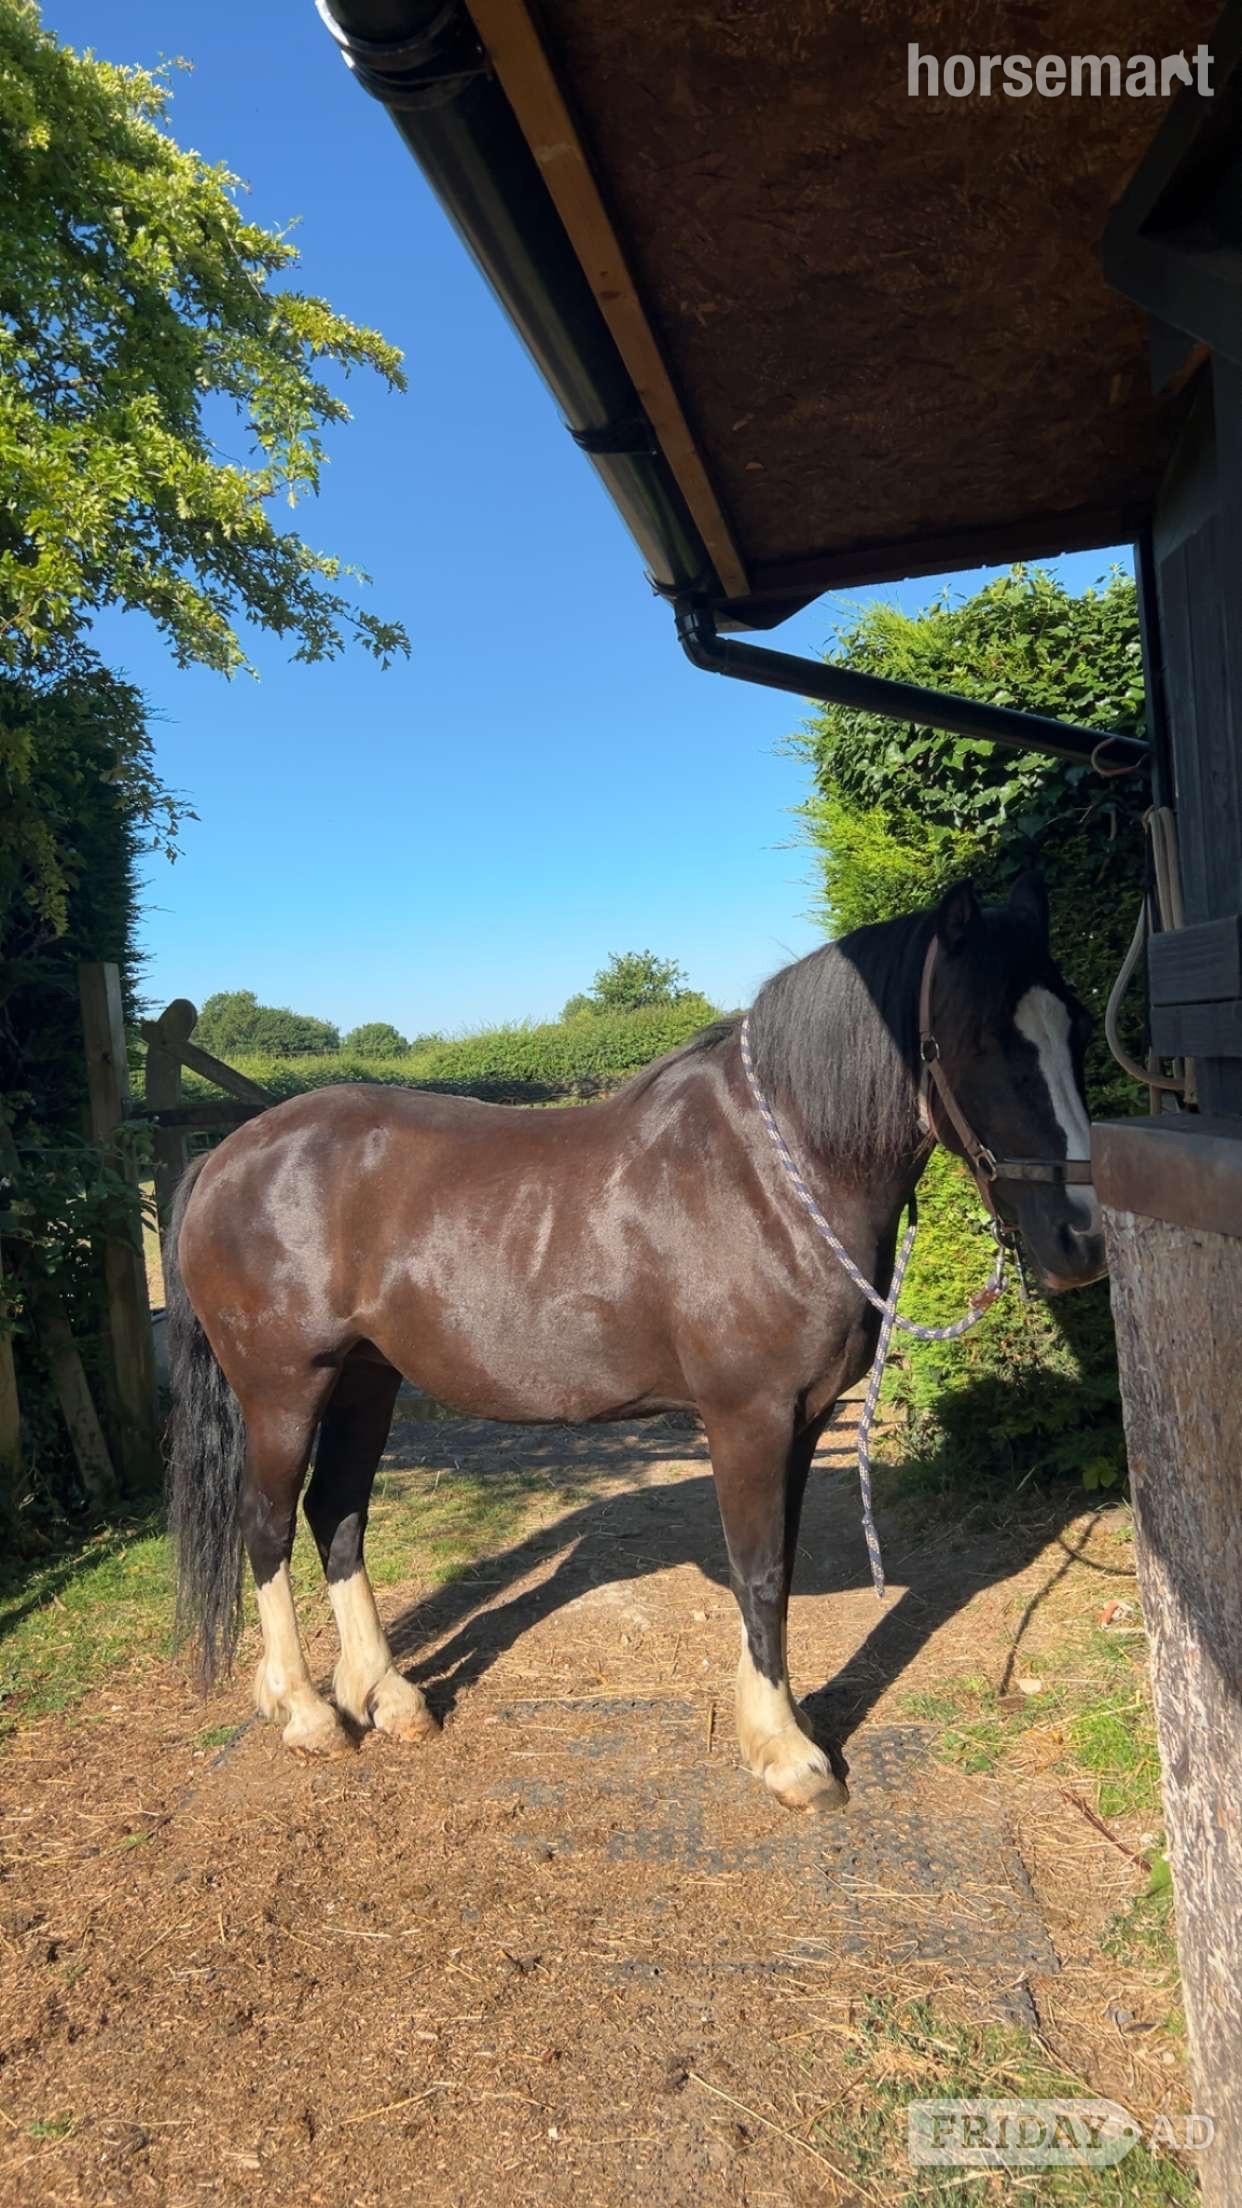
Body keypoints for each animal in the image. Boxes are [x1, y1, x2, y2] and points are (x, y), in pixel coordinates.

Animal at [166, 872, 1104, 1812]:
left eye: (1079, 1029)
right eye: (984, 1040)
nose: (1081, 1244)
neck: (772, 1176)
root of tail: (225, 1156)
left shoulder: (800, 1422)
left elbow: (779, 1568)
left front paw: (776, 1722)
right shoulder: (748, 1418)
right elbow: (759, 1571)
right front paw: (788, 1754)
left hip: (368, 1380)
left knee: (338, 1514)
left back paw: (387, 1698)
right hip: (286, 1389)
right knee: (267, 1527)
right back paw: (305, 1712)